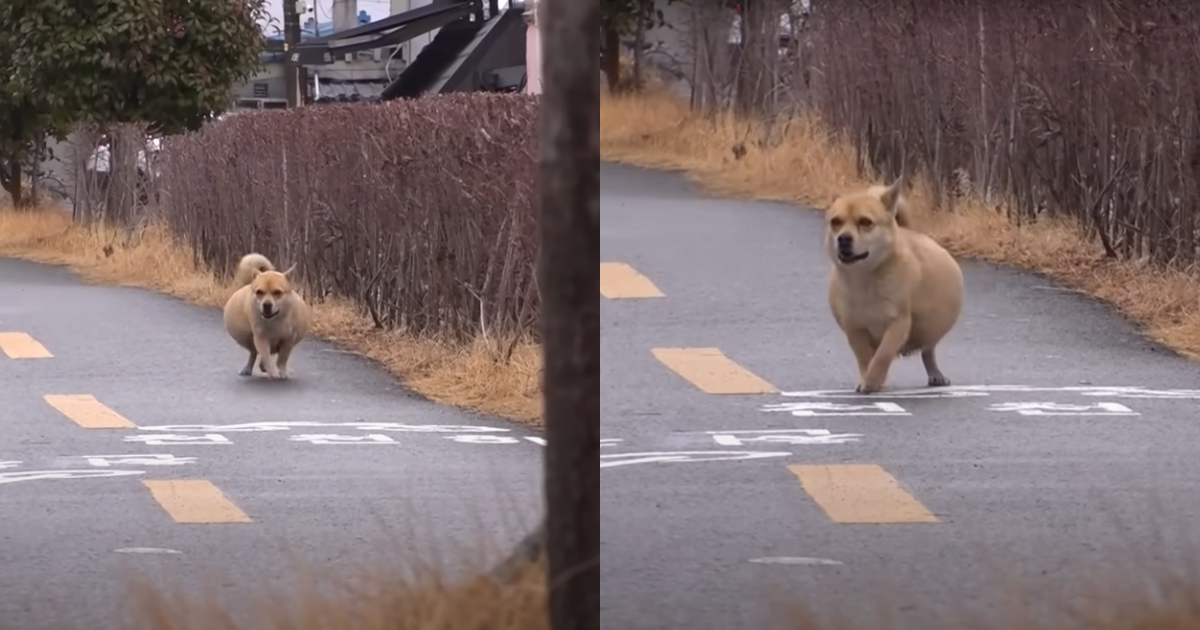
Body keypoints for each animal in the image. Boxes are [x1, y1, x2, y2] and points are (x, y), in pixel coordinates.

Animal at [825, 169, 964, 391]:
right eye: (835, 222)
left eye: (866, 222)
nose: (843, 238)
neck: (865, 277)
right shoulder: (855, 330)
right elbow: (865, 358)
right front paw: (868, 379)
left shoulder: (897, 325)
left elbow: (883, 354)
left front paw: (872, 382)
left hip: (928, 329)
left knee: (928, 351)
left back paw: (935, 374)